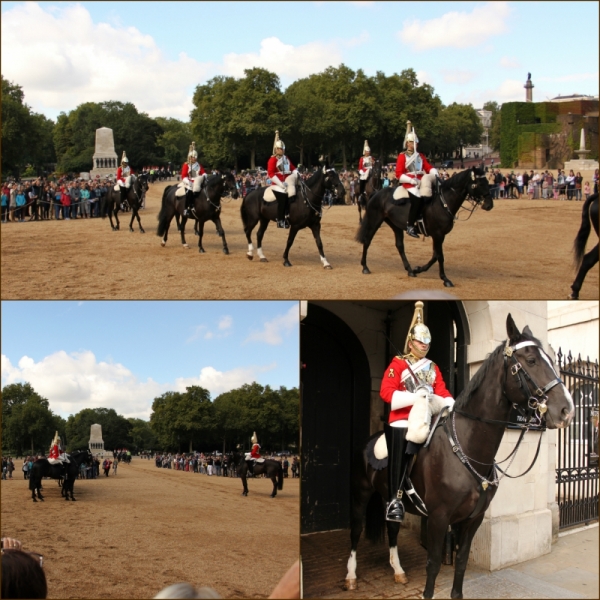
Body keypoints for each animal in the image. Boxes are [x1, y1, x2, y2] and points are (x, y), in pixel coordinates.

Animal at [342, 316, 572, 596]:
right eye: (531, 360)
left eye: (549, 359)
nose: (566, 410)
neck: (468, 450)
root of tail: (369, 439)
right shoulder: (438, 518)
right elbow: (432, 565)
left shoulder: (473, 519)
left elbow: (461, 561)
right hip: (360, 495)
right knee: (355, 531)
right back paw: (351, 576)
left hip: (388, 497)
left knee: (393, 528)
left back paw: (398, 571)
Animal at [356, 166, 492, 288]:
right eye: (478, 184)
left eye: (487, 182)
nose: (489, 205)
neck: (443, 202)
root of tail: (376, 192)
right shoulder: (438, 235)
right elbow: (440, 256)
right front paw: (445, 279)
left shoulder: (439, 236)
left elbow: (435, 255)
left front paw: (418, 269)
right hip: (375, 221)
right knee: (367, 240)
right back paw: (365, 267)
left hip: (396, 226)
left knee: (399, 246)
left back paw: (410, 270)